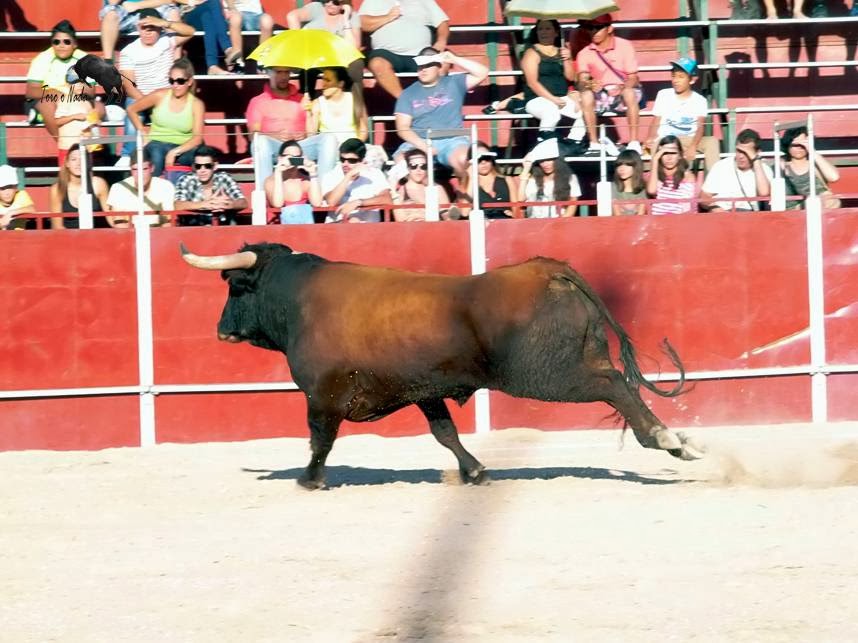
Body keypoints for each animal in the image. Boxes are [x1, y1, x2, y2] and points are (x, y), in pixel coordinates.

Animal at [181, 242, 704, 489]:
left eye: (236, 286)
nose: (221, 330)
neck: (298, 301)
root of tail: (550, 268)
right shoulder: (423, 390)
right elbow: (445, 433)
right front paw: (475, 471)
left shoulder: (321, 394)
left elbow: (320, 439)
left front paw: (309, 479)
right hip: (579, 357)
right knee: (621, 382)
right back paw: (677, 442)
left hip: (549, 375)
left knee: (613, 384)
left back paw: (666, 439)